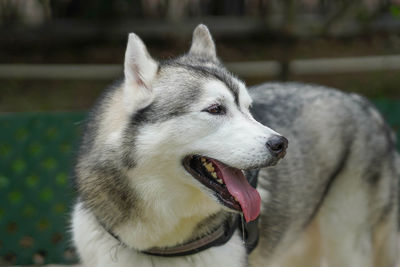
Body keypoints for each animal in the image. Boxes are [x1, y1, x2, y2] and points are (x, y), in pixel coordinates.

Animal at [71, 25, 396, 267]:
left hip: (346, 245)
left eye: (249, 109)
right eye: (215, 109)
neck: (158, 244)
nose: (281, 144)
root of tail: (363, 102)